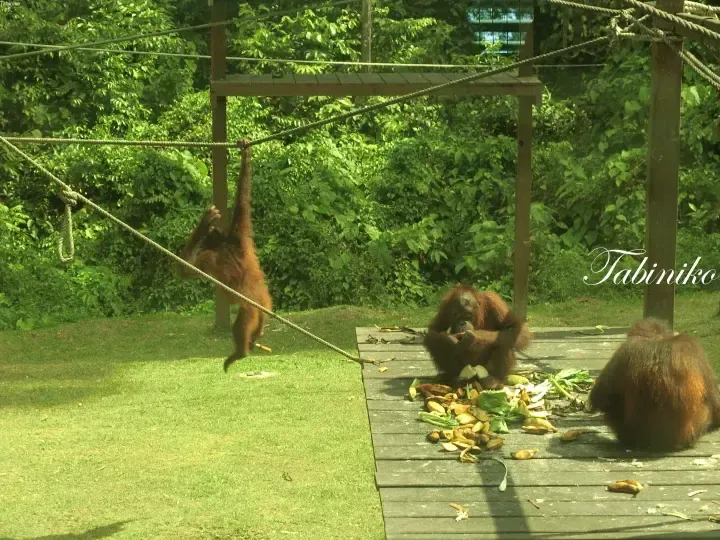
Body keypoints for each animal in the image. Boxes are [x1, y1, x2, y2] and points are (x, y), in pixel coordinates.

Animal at [176, 139, 272, 373]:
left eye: (207, 242)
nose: (205, 240)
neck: (225, 244)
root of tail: (262, 300)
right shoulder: (240, 237)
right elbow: (243, 204)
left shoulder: (212, 255)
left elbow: (186, 269)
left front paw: (204, 224)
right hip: (263, 306)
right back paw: (254, 339)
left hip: (251, 308)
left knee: (240, 325)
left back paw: (241, 353)